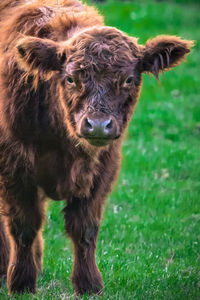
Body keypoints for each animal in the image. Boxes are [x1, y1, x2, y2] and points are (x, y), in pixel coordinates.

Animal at [0, 0, 192, 296]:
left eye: (128, 79)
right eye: (70, 79)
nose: (99, 125)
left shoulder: (103, 168)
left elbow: (84, 228)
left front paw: (88, 284)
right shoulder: (14, 165)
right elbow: (24, 225)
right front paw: (21, 283)